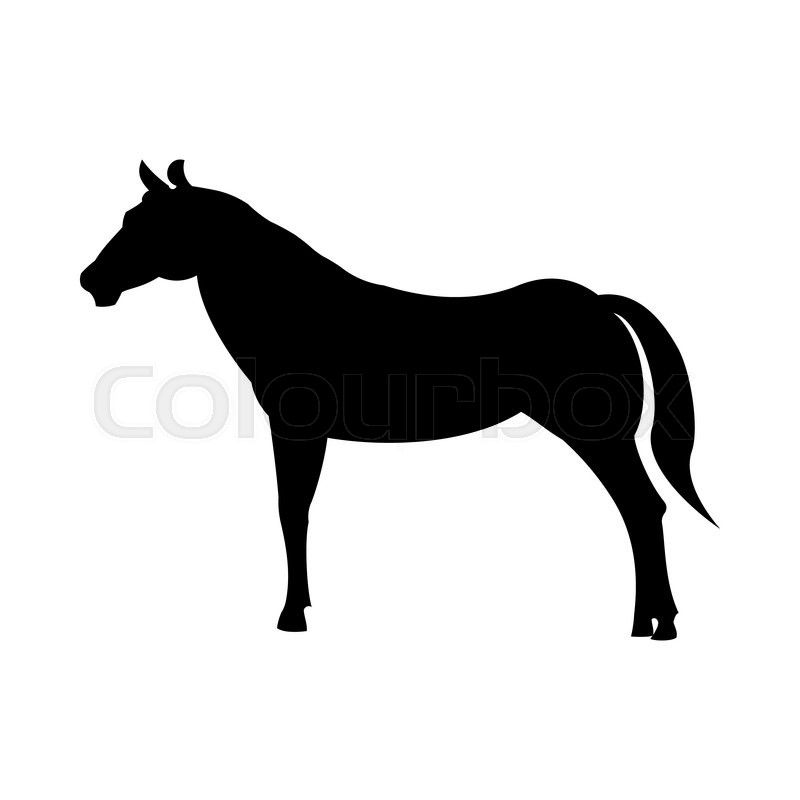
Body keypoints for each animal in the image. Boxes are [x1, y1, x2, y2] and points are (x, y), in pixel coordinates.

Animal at [80, 160, 715, 638]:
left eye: (152, 223)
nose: (91, 282)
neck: (298, 308)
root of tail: (600, 304)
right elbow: (295, 510)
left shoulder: (297, 429)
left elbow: (291, 510)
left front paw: (291, 615)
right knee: (638, 510)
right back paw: (646, 622)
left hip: (597, 432)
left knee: (643, 508)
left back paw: (659, 624)